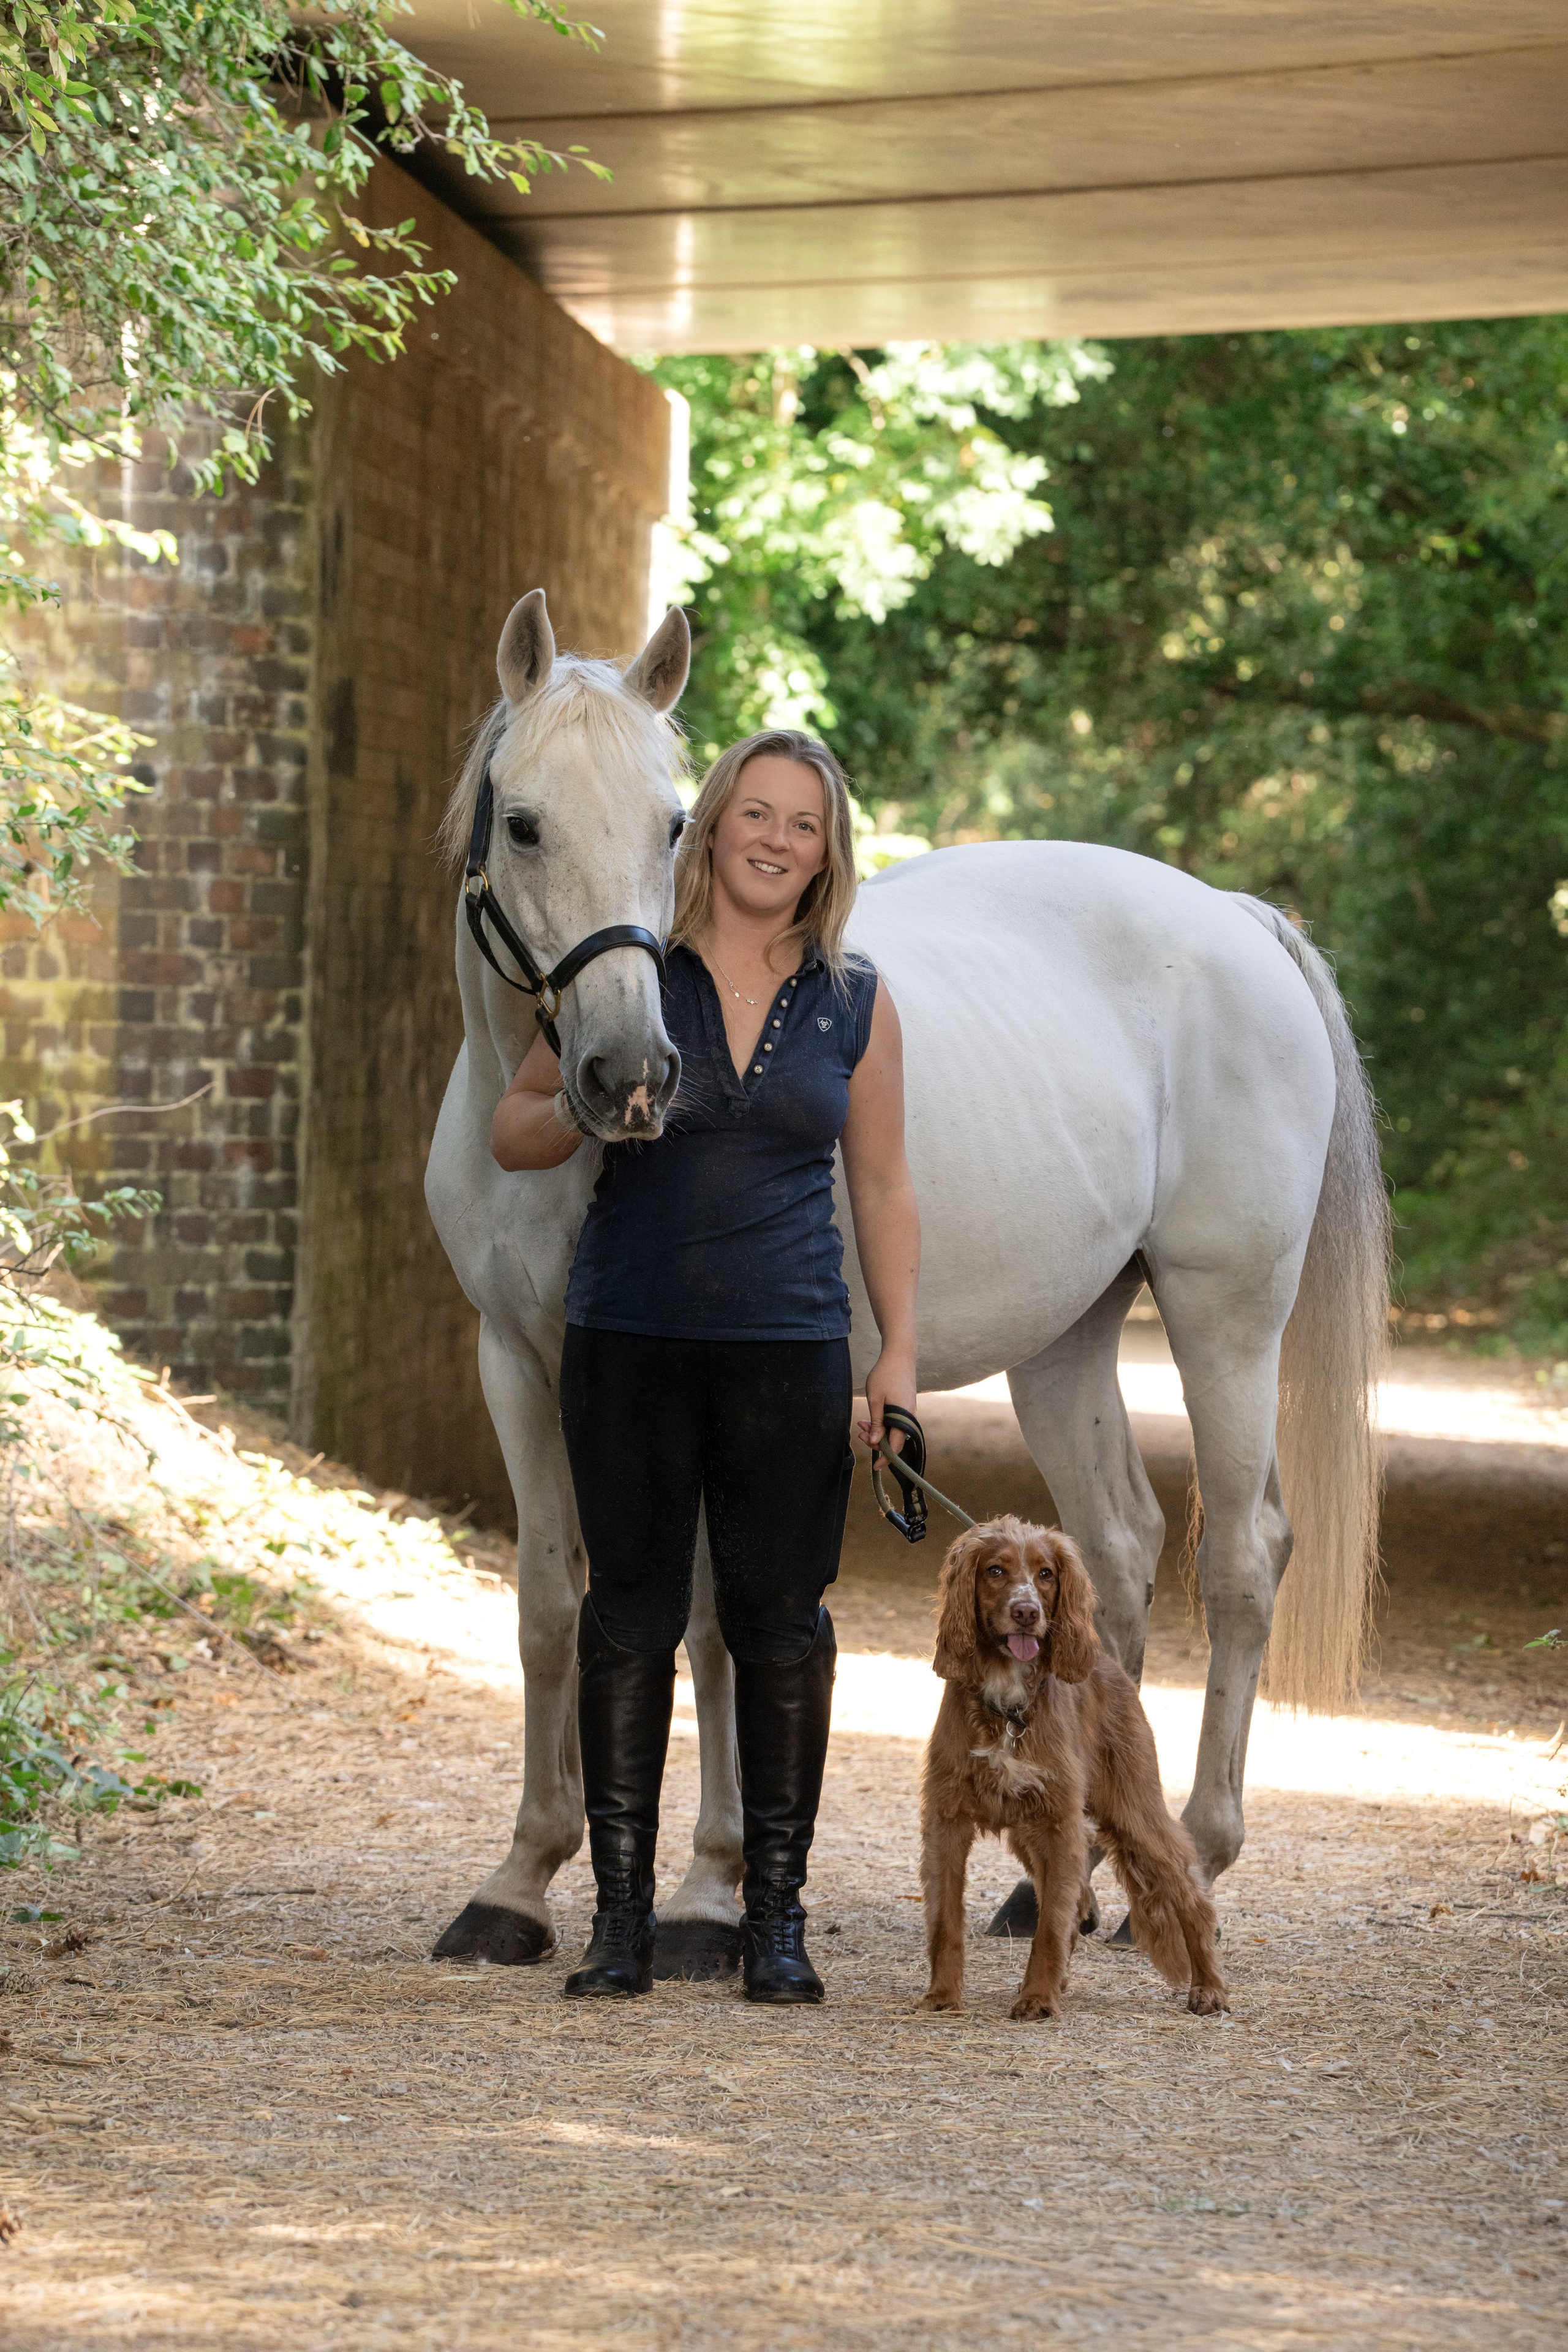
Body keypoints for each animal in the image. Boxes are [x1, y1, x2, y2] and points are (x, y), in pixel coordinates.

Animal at [427, 589, 1387, 1977]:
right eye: (523, 822)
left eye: (673, 823)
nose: (631, 1073)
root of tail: (1234, 918)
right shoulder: (520, 1364)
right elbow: (555, 1604)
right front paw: (516, 1884)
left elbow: (716, 1620)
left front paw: (710, 1893)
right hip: (1065, 1343)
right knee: (1113, 1547)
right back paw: (1069, 1879)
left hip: (1226, 1317)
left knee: (1243, 1559)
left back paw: (1196, 1853)